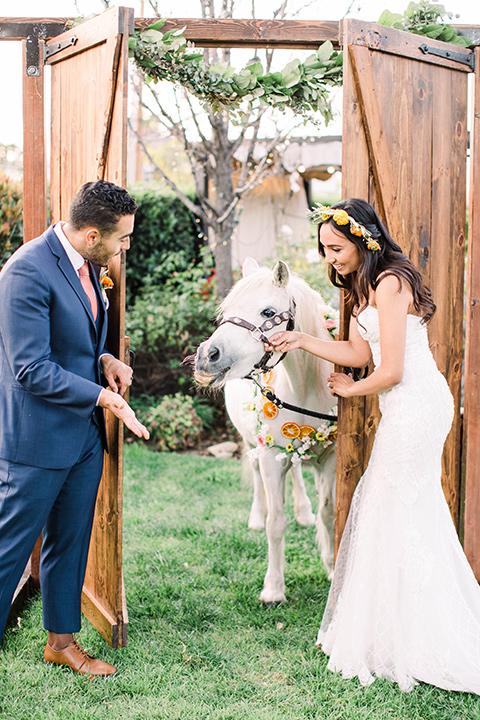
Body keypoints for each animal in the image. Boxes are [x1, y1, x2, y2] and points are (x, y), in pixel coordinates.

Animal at [193, 258, 336, 600]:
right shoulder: (271, 456)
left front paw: (331, 566)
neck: (306, 385)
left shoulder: (329, 458)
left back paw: (304, 512)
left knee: (297, 469)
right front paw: (273, 589)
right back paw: (256, 517)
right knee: (257, 476)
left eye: (268, 312)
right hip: (253, 444)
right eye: (227, 309)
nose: (207, 355)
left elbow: (328, 513)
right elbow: (276, 523)